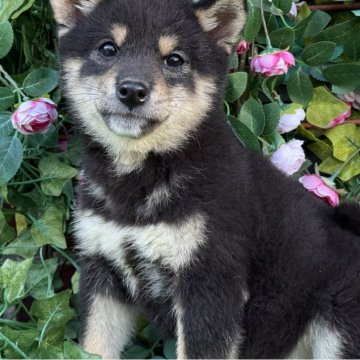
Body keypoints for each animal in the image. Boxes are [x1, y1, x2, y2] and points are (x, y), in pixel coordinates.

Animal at [49, 0, 360, 358]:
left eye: (174, 59)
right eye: (108, 49)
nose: (132, 91)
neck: (140, 176)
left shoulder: (210, 283)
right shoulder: (102, 272)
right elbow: (93, 346)